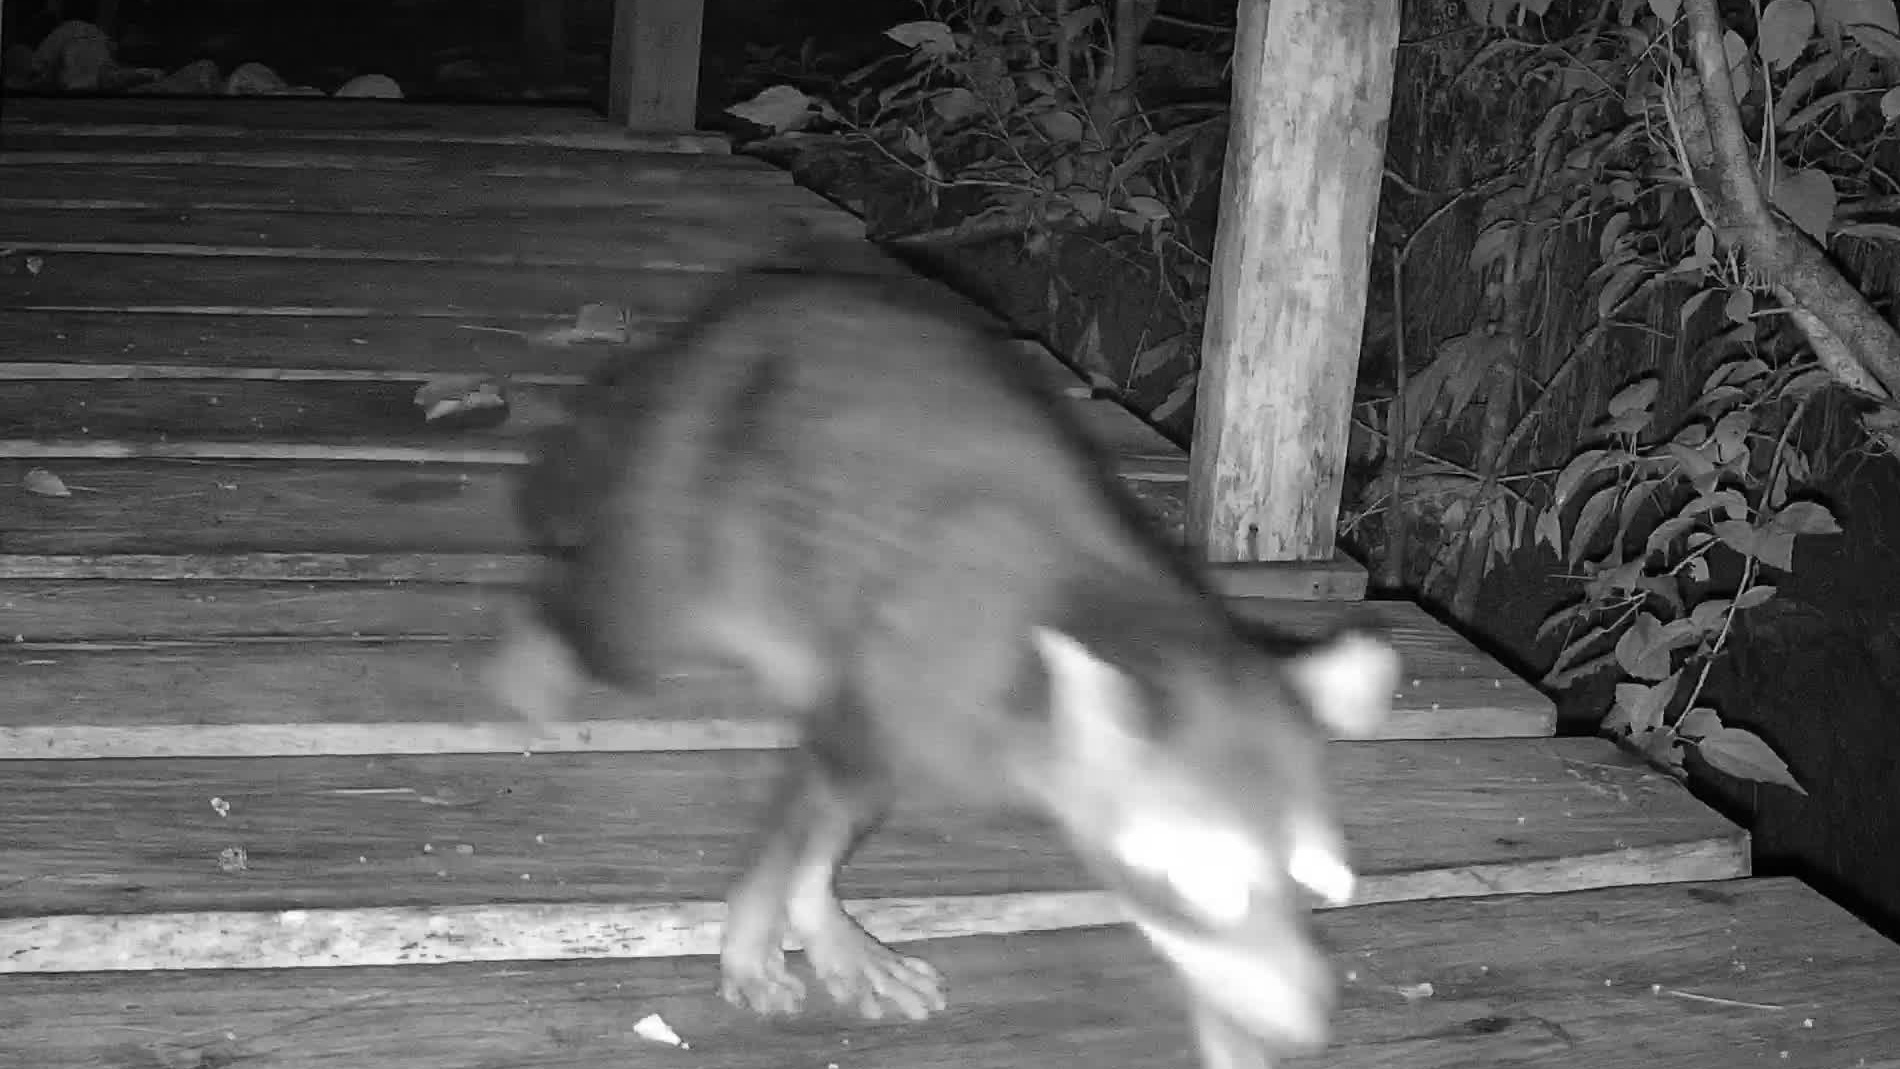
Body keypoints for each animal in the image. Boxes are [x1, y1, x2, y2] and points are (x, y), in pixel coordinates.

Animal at [487, 261, 1398, 1061]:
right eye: (1200, 881)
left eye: (1322, 885)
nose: (1302, 1028)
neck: (1127, 614)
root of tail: (710, 330)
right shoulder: (917, 658)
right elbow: (815, 794)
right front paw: (761, 911)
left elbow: (844, 799)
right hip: (683, 507)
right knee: (625, 626)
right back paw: (549, 636)